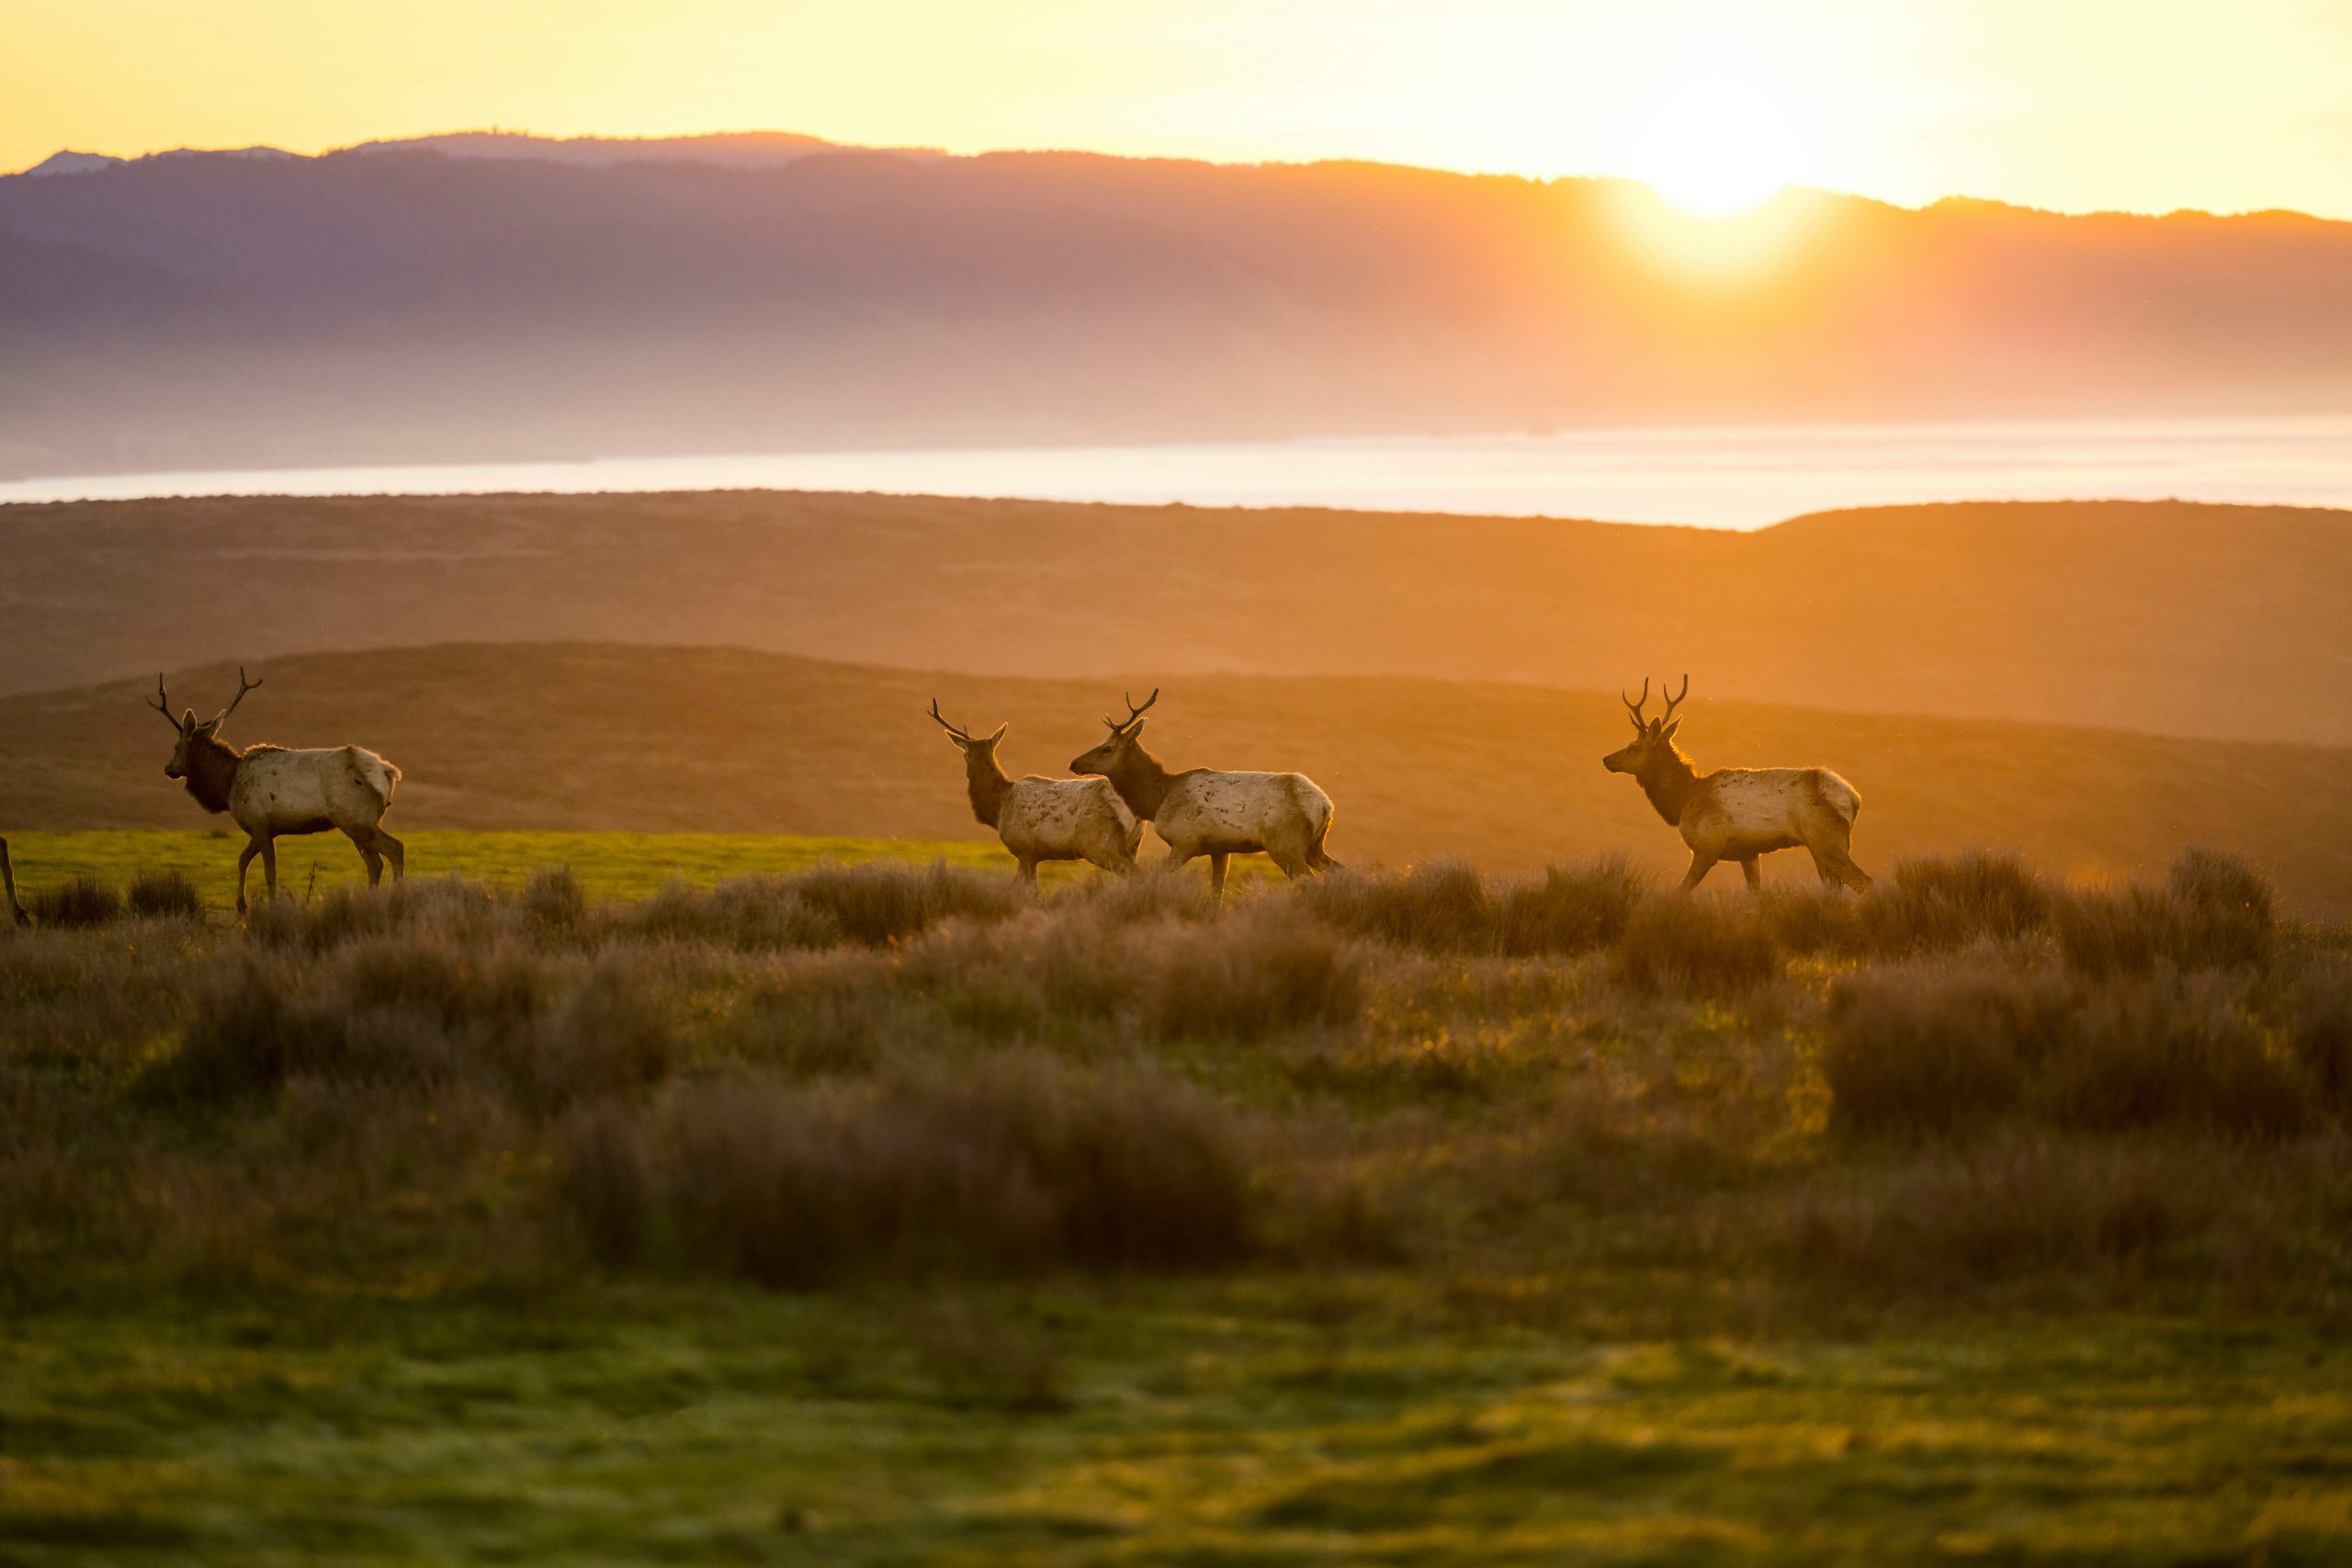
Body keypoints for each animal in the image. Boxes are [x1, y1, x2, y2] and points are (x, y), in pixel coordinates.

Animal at [147, 668, 407, 913]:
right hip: (362, 823)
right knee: (375, 863)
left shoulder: (259, 822)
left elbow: (268, 871)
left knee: (395, 849)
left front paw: (265, 905)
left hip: (355, 819)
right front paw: (241, 905)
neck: (227, 785)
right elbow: (242, 860)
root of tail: (388, 773)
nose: (168, 769)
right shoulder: (266, 828)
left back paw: (396, 898)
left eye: (175, 746)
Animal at [927, 699, 1142, 884]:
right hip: (1133, 846)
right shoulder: (1034, 855)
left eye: (965, 753)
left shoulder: (1025, 850)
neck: (999, 808)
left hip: (1101, 845)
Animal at [1070, 689, 1339, 900]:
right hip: (1314, 846)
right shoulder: (1219, 848)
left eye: (1106, 748)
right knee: (1339, 870)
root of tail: (1324, 804)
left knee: (1310, 880)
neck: (1158, 800)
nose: (1074, 763)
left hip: (1285, 845)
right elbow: (1216, 892)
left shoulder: (1185, 842)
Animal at [1602, 675, 1872, 894]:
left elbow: (1681, 891)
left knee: (1864, 882)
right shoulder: (1748, 853)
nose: (1607, 759)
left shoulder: (1706, 848)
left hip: (1828, 841)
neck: (1682, 801)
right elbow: (1756, 895)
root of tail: (1853, 799)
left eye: (1632, 746)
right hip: (1820, 845)